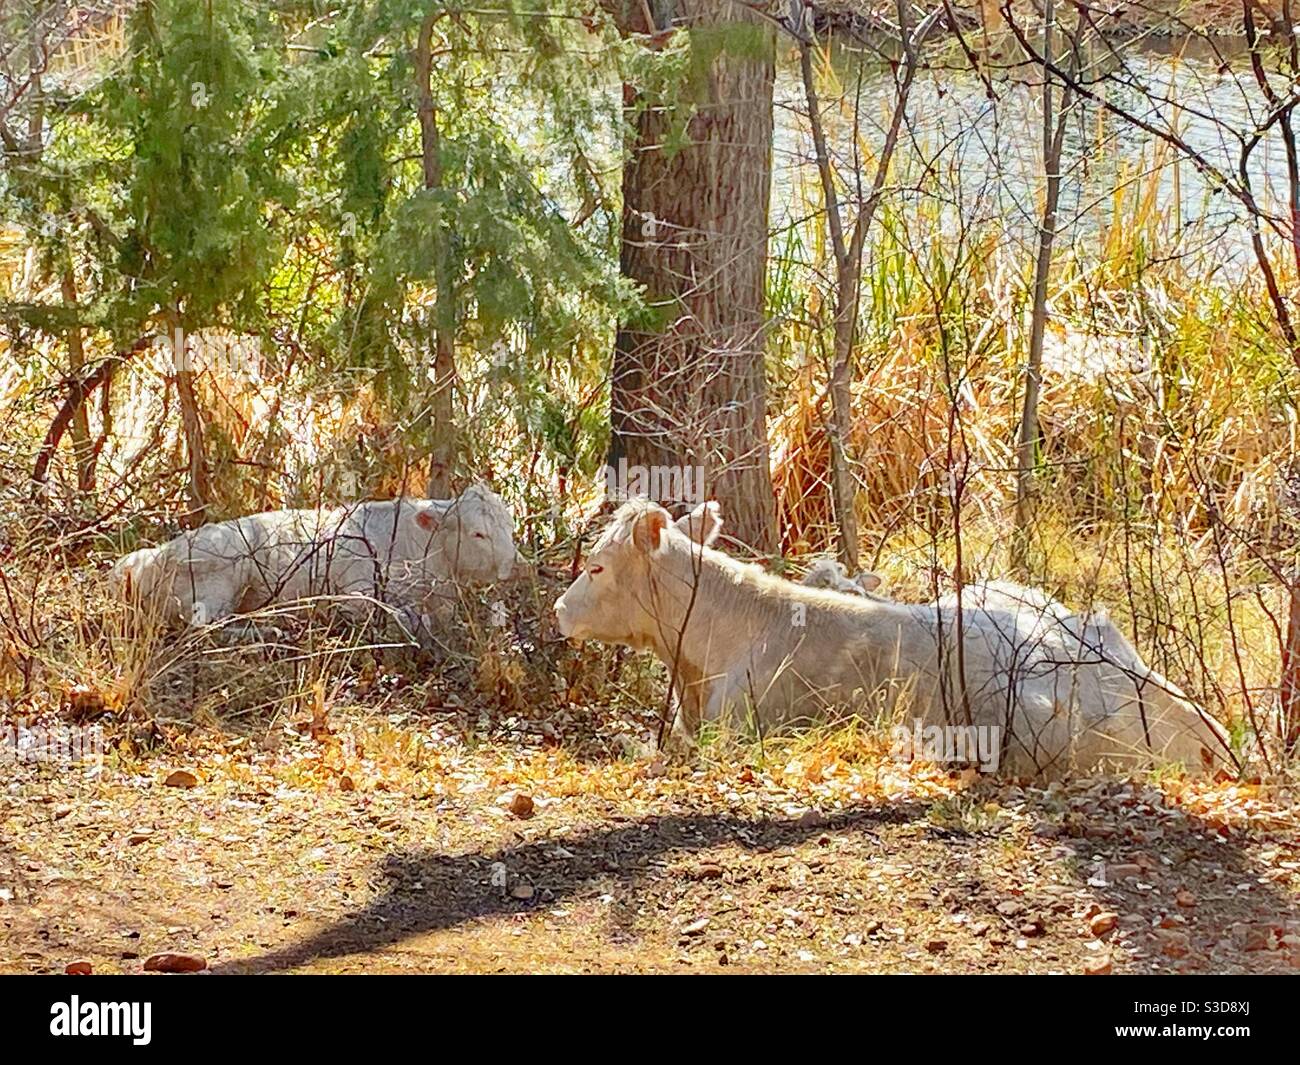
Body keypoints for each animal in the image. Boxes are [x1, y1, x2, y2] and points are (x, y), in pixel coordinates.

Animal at [107, 486, 522, 642]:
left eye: (509, 525)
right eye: (479, 534)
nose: (515, 565)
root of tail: (145, 558)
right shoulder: (357, 594)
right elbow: (405, 619)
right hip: (220, 581)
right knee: (205, 627)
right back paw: (270, 630)